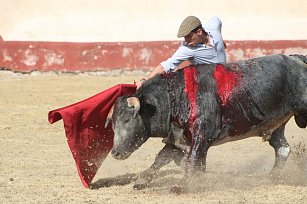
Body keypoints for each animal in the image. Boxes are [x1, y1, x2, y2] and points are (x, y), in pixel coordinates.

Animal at [109, 54, 306, 193]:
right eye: (112, 124)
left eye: (127, 119)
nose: (115, 153)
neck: (176, 96)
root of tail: (297, 59)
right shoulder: (179, 138)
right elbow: (161, 158)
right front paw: (142, 181)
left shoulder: (202, 136)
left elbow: (193, 159)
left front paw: (183, 186)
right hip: (276, 125)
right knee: (282, 148)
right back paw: (272, 177)